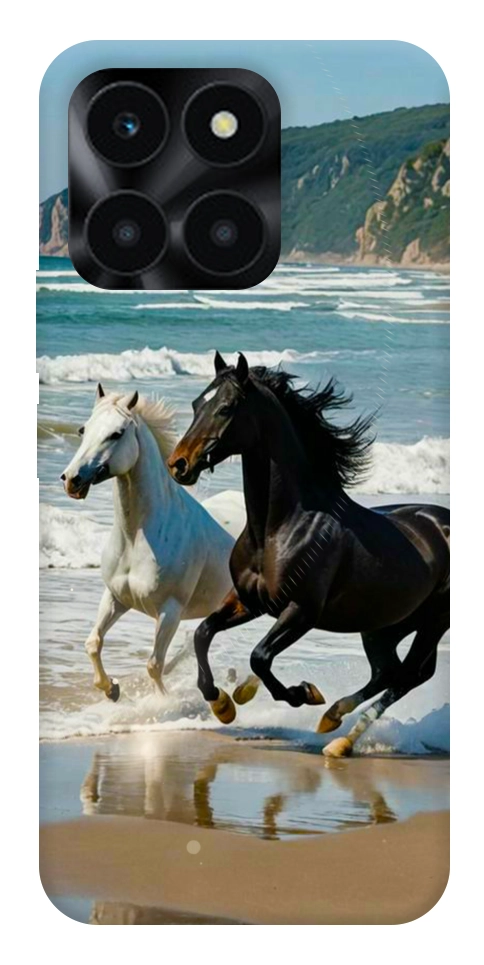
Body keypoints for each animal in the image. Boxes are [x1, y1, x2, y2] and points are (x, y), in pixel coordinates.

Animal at [61, 383, 234, 701]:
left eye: (116, 433)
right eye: (83, 430)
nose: (71, 480)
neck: (137, 538)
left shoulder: (170, 611)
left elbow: (154, 664)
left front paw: (161, 703)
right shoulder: (116, 597)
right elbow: (93, 642)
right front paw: (111, 689)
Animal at [167, 352, 450, 757]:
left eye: (225, 408)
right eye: (195, 404)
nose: (179, 464)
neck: (279, 528)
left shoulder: (301, 611)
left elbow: (260, 656)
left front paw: (302, 693)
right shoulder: (248, 601)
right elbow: (203, 634)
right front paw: (222, 703)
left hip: (432, 622)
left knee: (408, 675)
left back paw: (339, 737)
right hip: (384, 625)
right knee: (389, 671)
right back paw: (333, 721)